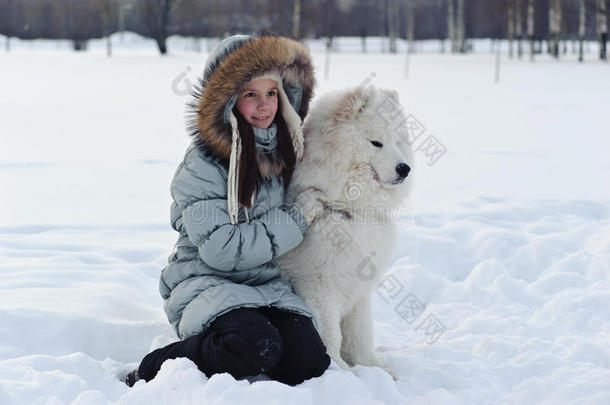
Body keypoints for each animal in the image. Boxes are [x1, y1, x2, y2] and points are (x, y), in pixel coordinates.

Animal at [276, 85, 414, 378]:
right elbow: (330, 335)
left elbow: (361, 332)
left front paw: (372, 366)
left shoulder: (360, 287)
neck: (348, 209)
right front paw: (339, 370)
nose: (405, 169)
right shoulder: (319, 286)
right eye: (376, 143)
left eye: (398, 142)